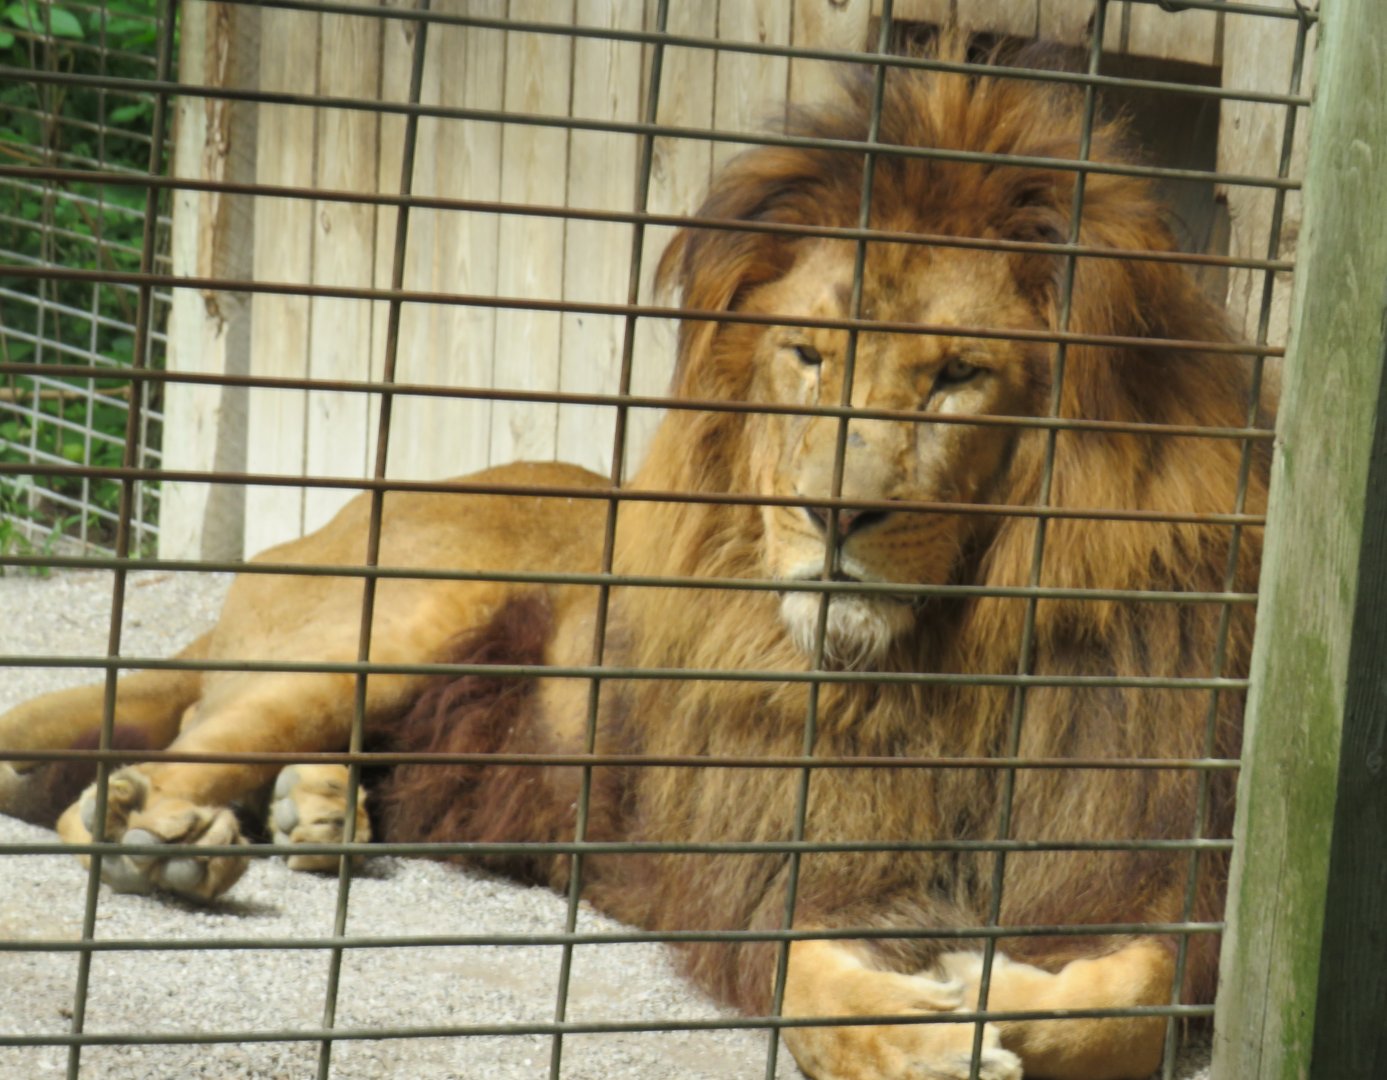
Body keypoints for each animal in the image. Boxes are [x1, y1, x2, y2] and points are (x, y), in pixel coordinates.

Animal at [0, 44, 1265, 1080]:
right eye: (806, 356)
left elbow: (1132, 998)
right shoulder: (769, 869)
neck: (940, 665)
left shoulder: (1155, 872)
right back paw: (163, 844)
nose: (829, 513)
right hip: (397, 616)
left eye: (957, 375)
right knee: (150, 765)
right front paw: (922, 1032)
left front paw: (1000, 991)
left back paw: (313, 818)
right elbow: (807, 981)